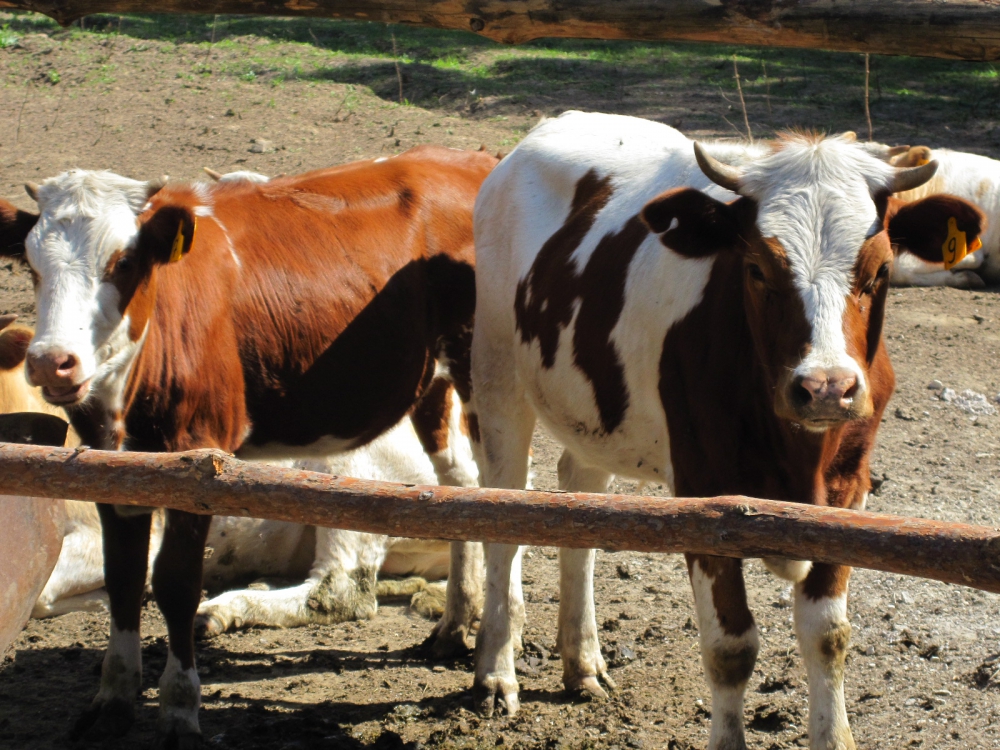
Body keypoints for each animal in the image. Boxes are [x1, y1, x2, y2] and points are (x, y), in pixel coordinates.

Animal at [13, 145, 498, 748]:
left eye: (122, 263)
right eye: (31, 265)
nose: (50, 362)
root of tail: (473, 159)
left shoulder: (197, 461)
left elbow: (174, 584)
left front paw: (180, 709)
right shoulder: (106, 469)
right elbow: (124, 577)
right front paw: (113, 700)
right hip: (429, 381)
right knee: (463, 486)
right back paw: (455, 624)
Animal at [468, 111, 984, 750]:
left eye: (881, 269)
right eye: (757, 268)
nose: (826, 388)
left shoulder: (849, 491)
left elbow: (827, 636)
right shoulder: (704, 496)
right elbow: (730, 646)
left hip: (591, 406)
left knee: (579, 507)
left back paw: (582, 662)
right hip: (496, 373)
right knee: (503, 512)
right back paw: (496, 671)